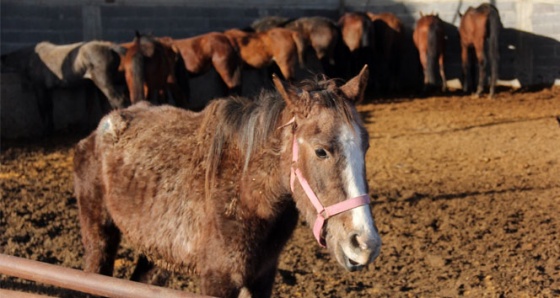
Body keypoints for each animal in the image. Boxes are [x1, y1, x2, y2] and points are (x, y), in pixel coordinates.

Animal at [73, 65, 380, 298]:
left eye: (366, 146)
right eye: (320, 151)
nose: (365, 245)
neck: (245, 194)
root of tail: (99, 129)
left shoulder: (261, 278)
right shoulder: (218, 281)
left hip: (156, 252)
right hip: (99, 237)